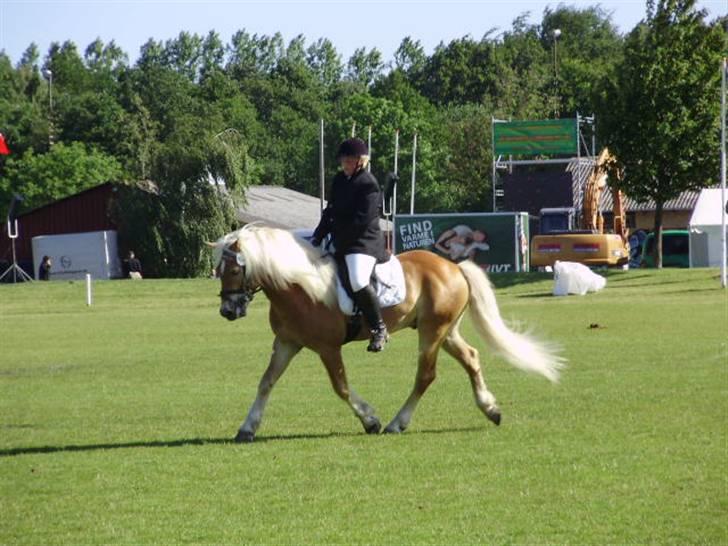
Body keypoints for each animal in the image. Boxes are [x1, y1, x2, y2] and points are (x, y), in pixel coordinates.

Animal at [210, 223, 564, 440]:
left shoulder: (327, 347)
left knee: (426, 375)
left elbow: (340, 387)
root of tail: (453, 266)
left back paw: (396, 423)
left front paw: (370, 420)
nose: (228, 311)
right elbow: (266, 382)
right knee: (471, 358)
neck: (298, 286)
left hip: (432, 332)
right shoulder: (286, 342)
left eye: (234, 269)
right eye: (218, 270)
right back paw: (491, 409)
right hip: (446, 331)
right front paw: (247, 428)